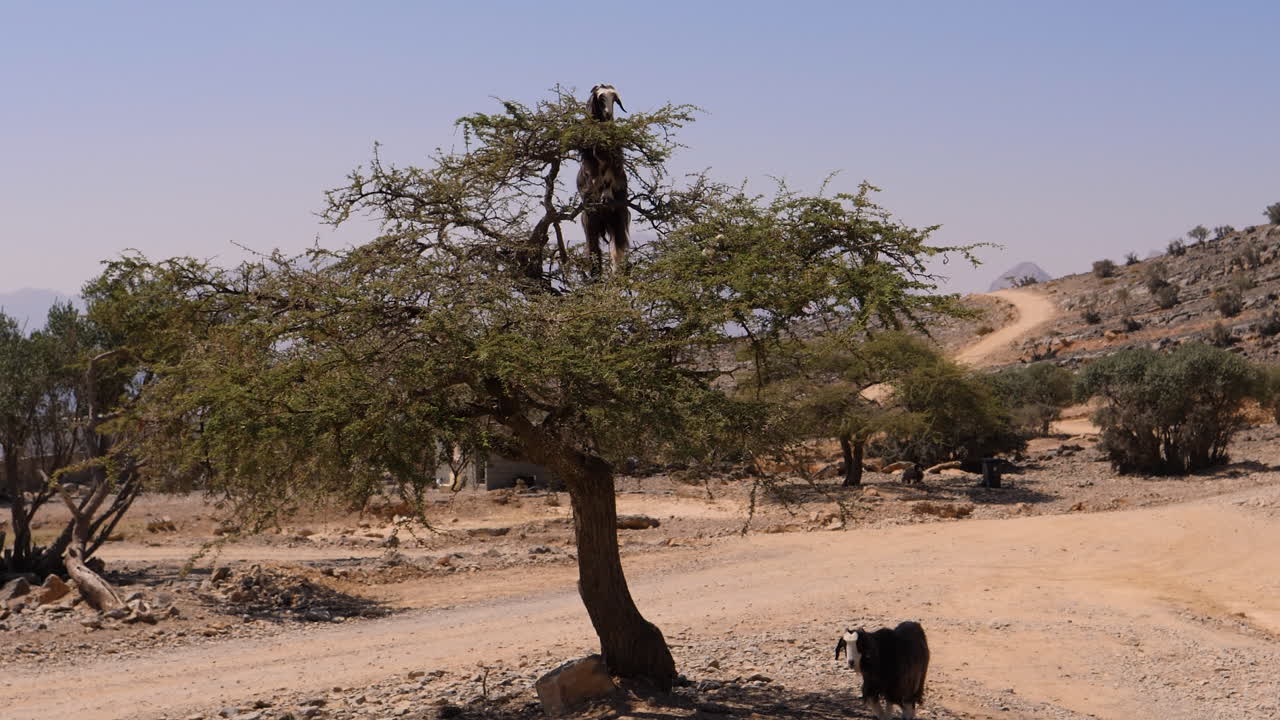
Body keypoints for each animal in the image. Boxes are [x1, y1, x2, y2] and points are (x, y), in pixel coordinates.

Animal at [577, 83, 630, 275]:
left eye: (614, 98)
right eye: (600, 98)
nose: (608, 115)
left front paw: (606, 195)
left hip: (618, 219)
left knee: (617, 251)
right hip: (591, 222)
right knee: (594, 251)